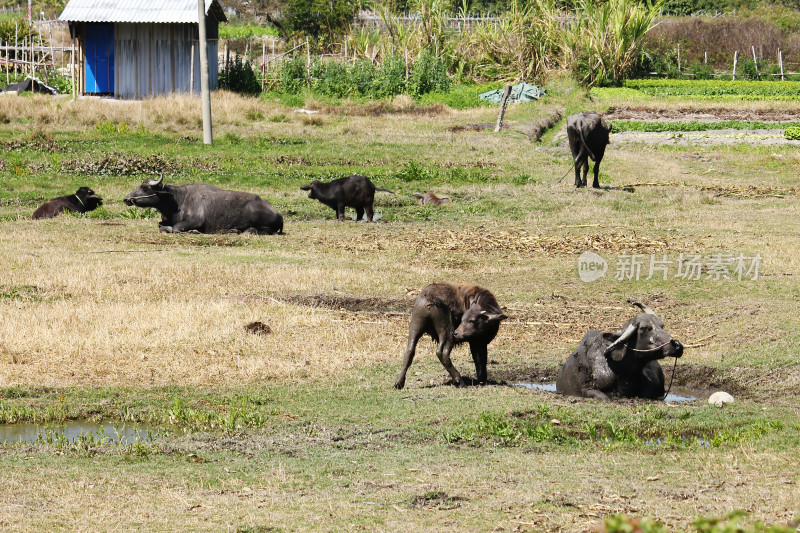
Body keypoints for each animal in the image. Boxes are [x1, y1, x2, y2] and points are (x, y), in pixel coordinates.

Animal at [122, 176, 284, 234]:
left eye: (144, 187)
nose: (126, 199)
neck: (178, 201)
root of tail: (278, 214)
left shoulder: (194, 221)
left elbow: (174, 228)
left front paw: (193, 231)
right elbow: (161, 227)